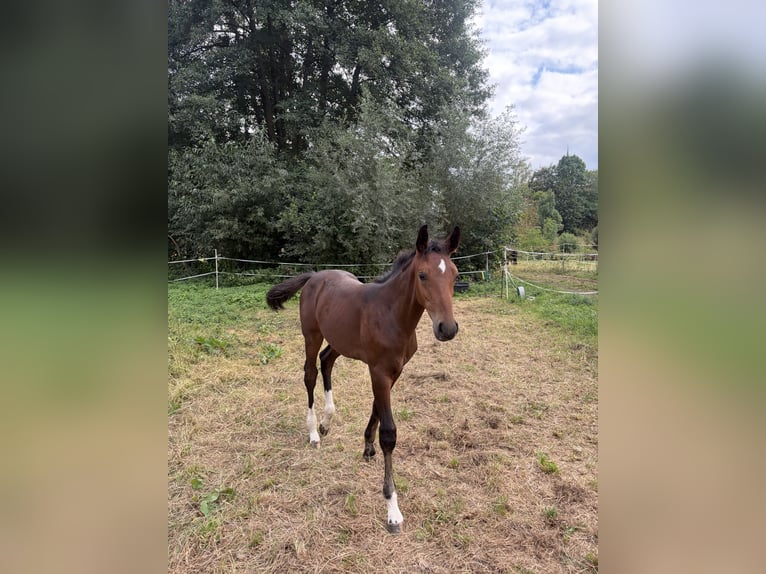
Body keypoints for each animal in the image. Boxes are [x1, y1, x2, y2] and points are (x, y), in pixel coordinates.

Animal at [266, 225, 461, 533]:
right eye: (422, 275)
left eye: (454, 274)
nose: (447, 328)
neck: (392, 314)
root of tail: (314, 276)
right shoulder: (379, 371)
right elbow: (389, 433)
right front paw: (392, 508)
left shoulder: (393, 371)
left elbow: (376, 408)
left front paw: (367, 447)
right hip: (311, 335)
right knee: (310, 373)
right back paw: (313, 432)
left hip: (339, 340)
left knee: (326, 361)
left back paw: (327, 421)